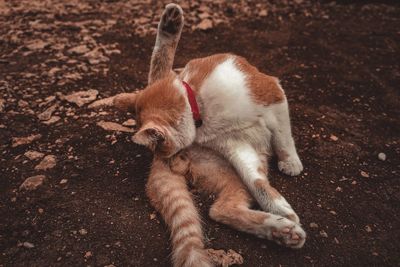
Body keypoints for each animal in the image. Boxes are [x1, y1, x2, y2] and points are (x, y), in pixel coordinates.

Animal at [115, 3, 306, 266]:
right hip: (230, 174)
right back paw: (283, 230)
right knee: (219, 210)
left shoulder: (273, 97)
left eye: (157, 145)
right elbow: (257, 182)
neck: (201, 105)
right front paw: (282, 210)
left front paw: (290, 163)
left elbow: (282, 138)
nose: (164, 156)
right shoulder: (235, 146)